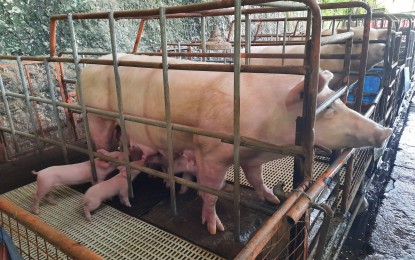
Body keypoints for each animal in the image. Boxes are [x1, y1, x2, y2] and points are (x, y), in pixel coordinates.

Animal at [80, 53, 394, 235]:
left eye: (338, 102)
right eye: (328, 110)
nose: (386, 130)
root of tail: (87, 67)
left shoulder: (252, 156)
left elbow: (255, 179)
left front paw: (272, 200)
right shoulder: (209, 152)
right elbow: (210, 192)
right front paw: (214, 228)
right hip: (98, 116)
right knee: (100, 146)